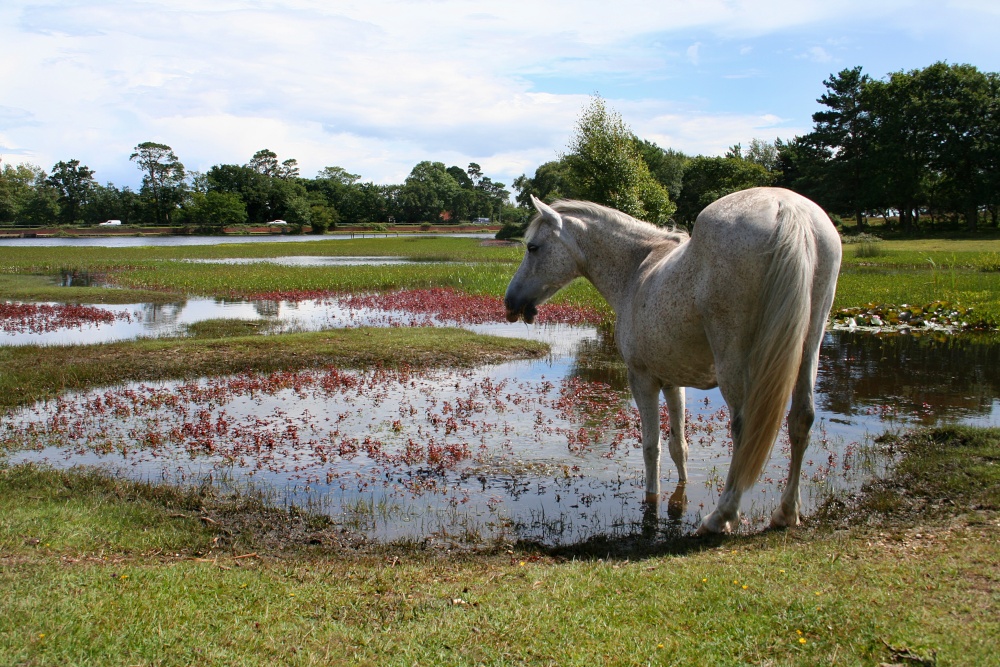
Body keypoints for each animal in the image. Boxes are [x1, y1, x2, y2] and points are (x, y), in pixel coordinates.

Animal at [504, 189, 840, 536]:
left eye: (532, 247)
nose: (511, 302)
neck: (637, 271)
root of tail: (786, 206)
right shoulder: (673, 382)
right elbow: (680, 446)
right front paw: (681, 492)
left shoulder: (643, 380)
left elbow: (651, 447)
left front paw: (651, 500)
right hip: (809, 348)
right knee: (801, 419)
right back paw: (786, 512)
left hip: (734, 362)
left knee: (744, 429)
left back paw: (721, 516)